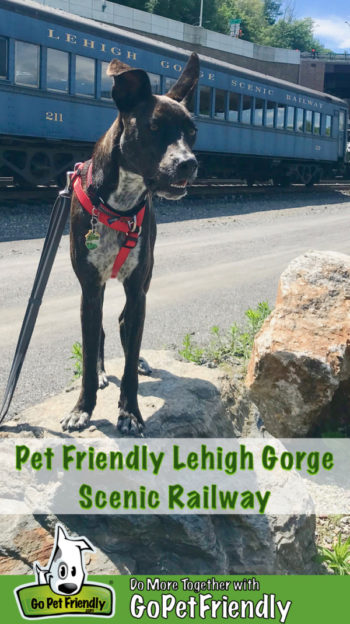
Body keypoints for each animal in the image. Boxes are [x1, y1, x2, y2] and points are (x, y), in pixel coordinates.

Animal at [60, 52, 200, 434]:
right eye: (153, 127)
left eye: (193, 133)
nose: (189, 163)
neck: (120, 202)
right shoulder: (90, 289)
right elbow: (89, 351)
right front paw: (83, 408)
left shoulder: (138, 289)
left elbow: (131, 342)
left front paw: (131, 412)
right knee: (102, 335)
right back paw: (103, 372)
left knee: (125, 326)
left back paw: (135, 362)